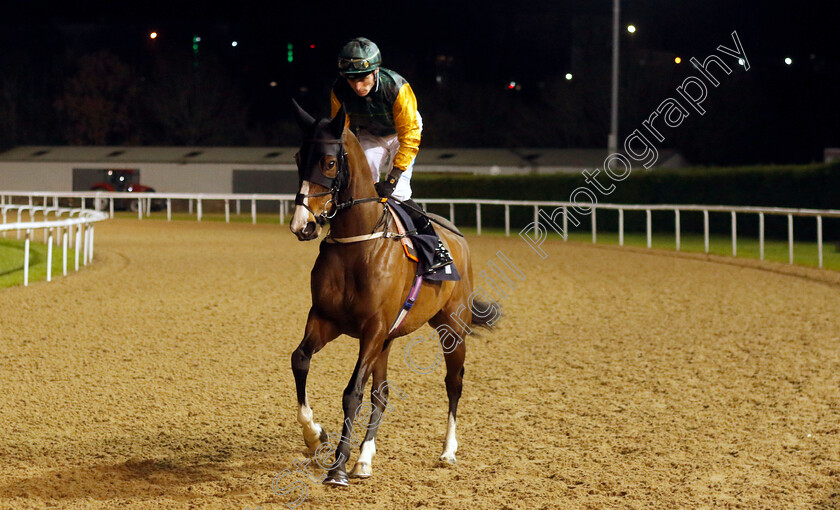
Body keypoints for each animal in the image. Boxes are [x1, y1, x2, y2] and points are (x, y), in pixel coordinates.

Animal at [290, 99, 496, 486]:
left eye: (329, 162)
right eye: (298, 157)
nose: (303, 225)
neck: (358, 244)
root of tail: (457, 237)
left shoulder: (372, 328)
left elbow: (352, 392)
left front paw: (337, 468)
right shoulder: (325, 319)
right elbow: (301, 360)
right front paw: (315, 436)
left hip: (452, 328)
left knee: (453, 382)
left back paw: (448, 450)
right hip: (388, 339)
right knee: (382, 392)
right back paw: (364, 459)